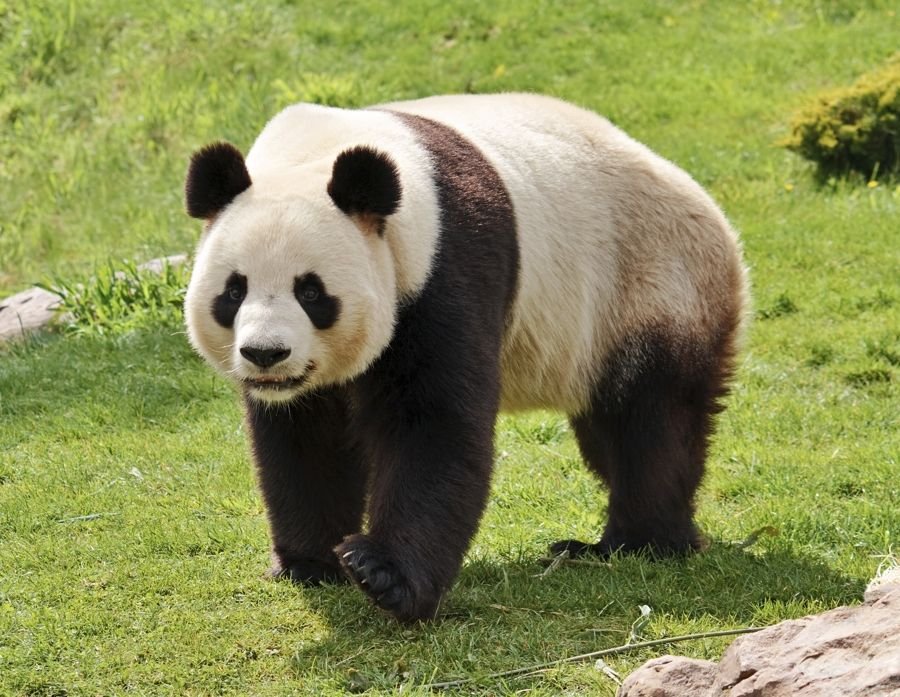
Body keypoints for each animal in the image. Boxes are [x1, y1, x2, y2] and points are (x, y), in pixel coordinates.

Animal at [183, 93, 748, 623]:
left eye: (311, 292)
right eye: (233, 291)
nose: (265, 354)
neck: (317, 154)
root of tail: (717, 219)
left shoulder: (443, 264)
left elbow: (433, 422)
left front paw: (382, 573)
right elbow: (308, 437)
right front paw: (309, 563)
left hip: (648, 281)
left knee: (651, 421)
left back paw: (641, 543)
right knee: (607, 431)